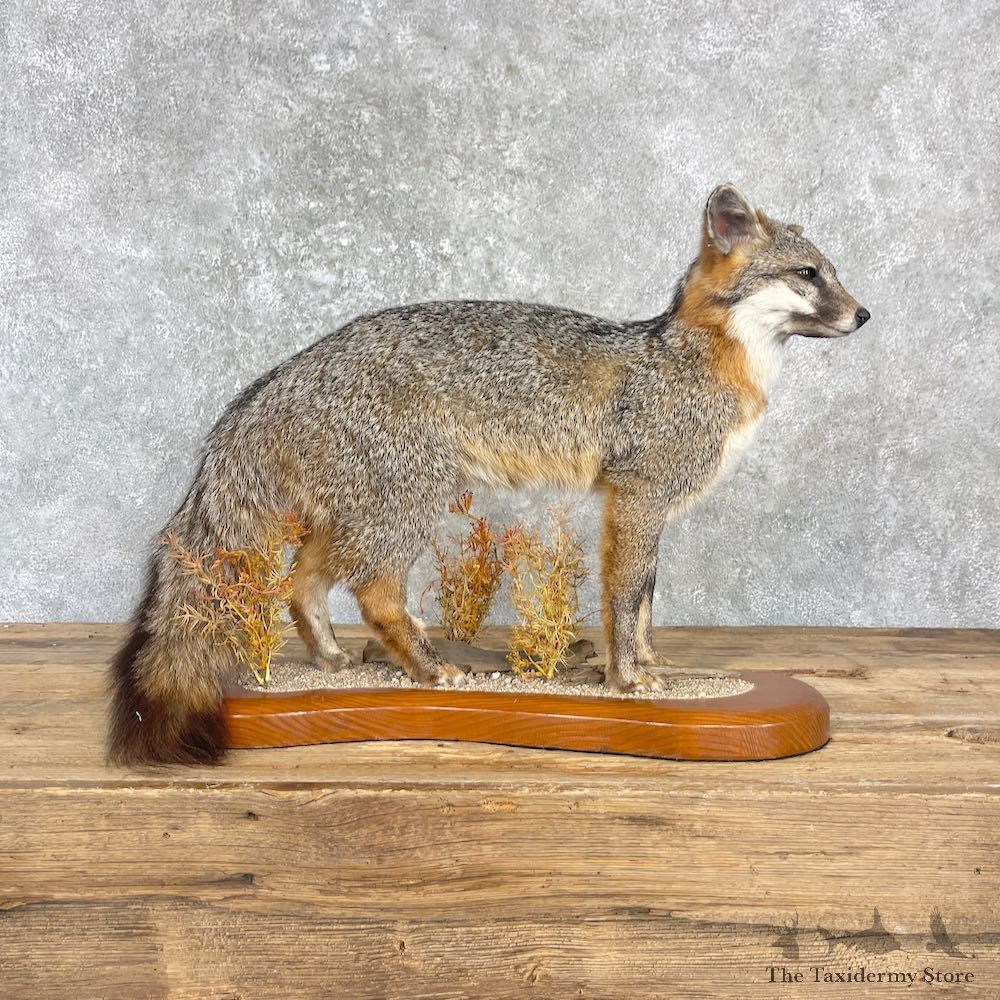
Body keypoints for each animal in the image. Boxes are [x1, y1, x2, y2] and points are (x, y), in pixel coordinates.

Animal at [108, 184, 869, 766]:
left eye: (830, 272)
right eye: (808, 275)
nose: (864, 314)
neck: (697, 358)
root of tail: (290, 366)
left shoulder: (643, 507)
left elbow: (648, 602)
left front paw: (652, 666)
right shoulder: (636, 499)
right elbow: (625, 601)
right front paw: (627, 679)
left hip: (358, 516)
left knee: (302, 585)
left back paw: (333, 664)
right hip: (407, 509)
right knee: (374, 593)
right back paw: (429, 671)